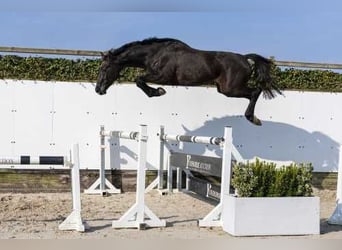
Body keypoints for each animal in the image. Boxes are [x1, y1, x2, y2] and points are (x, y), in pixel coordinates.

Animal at [95, 37, 280, 126]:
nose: (98, 90)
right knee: (253, 93)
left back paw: (253, 119)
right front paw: (157, 92)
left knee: (255, 91)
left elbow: (138, 80)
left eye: (104, 68)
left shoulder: (163, 77)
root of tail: (245, 59)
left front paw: (158, 92)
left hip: (231, 89)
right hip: (224, 89)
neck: (155, 54)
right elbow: (139, 80)